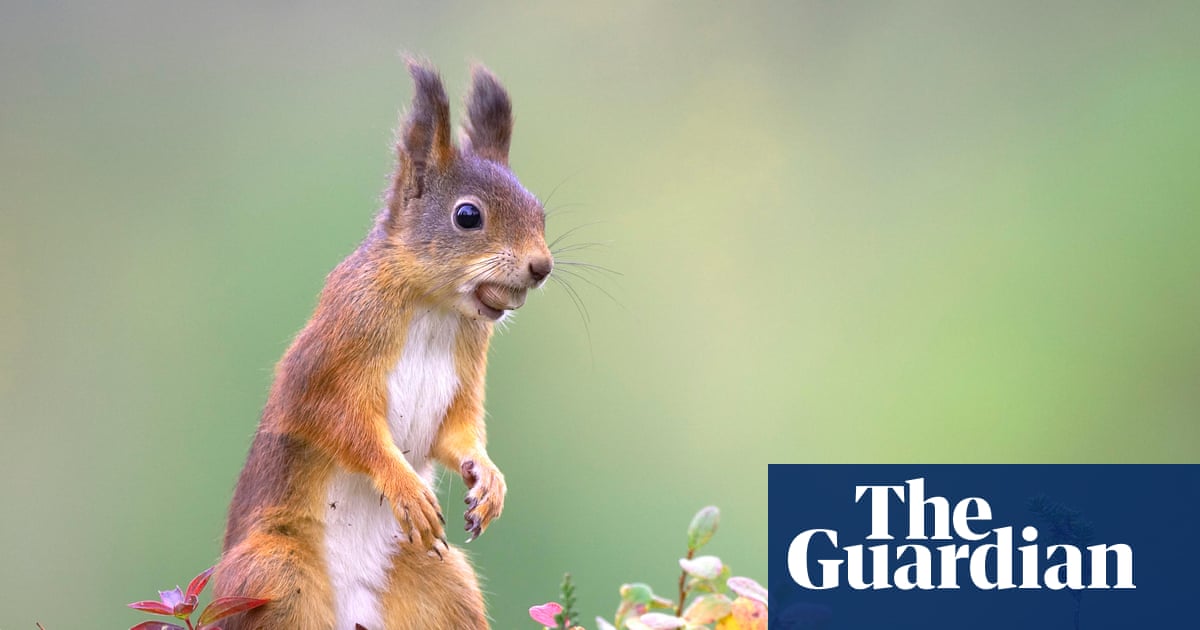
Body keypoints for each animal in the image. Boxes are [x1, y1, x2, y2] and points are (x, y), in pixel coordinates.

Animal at [212, 60, 553, 630]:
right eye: (467, 215)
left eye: (541, 211)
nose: (541, 266)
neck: (435, 308)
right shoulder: (335, 347)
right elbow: (337, 421)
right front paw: (405, 486)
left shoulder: (465, 373)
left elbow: (457, 430)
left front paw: (488, 480)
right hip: (269, 574)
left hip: (443, 583)